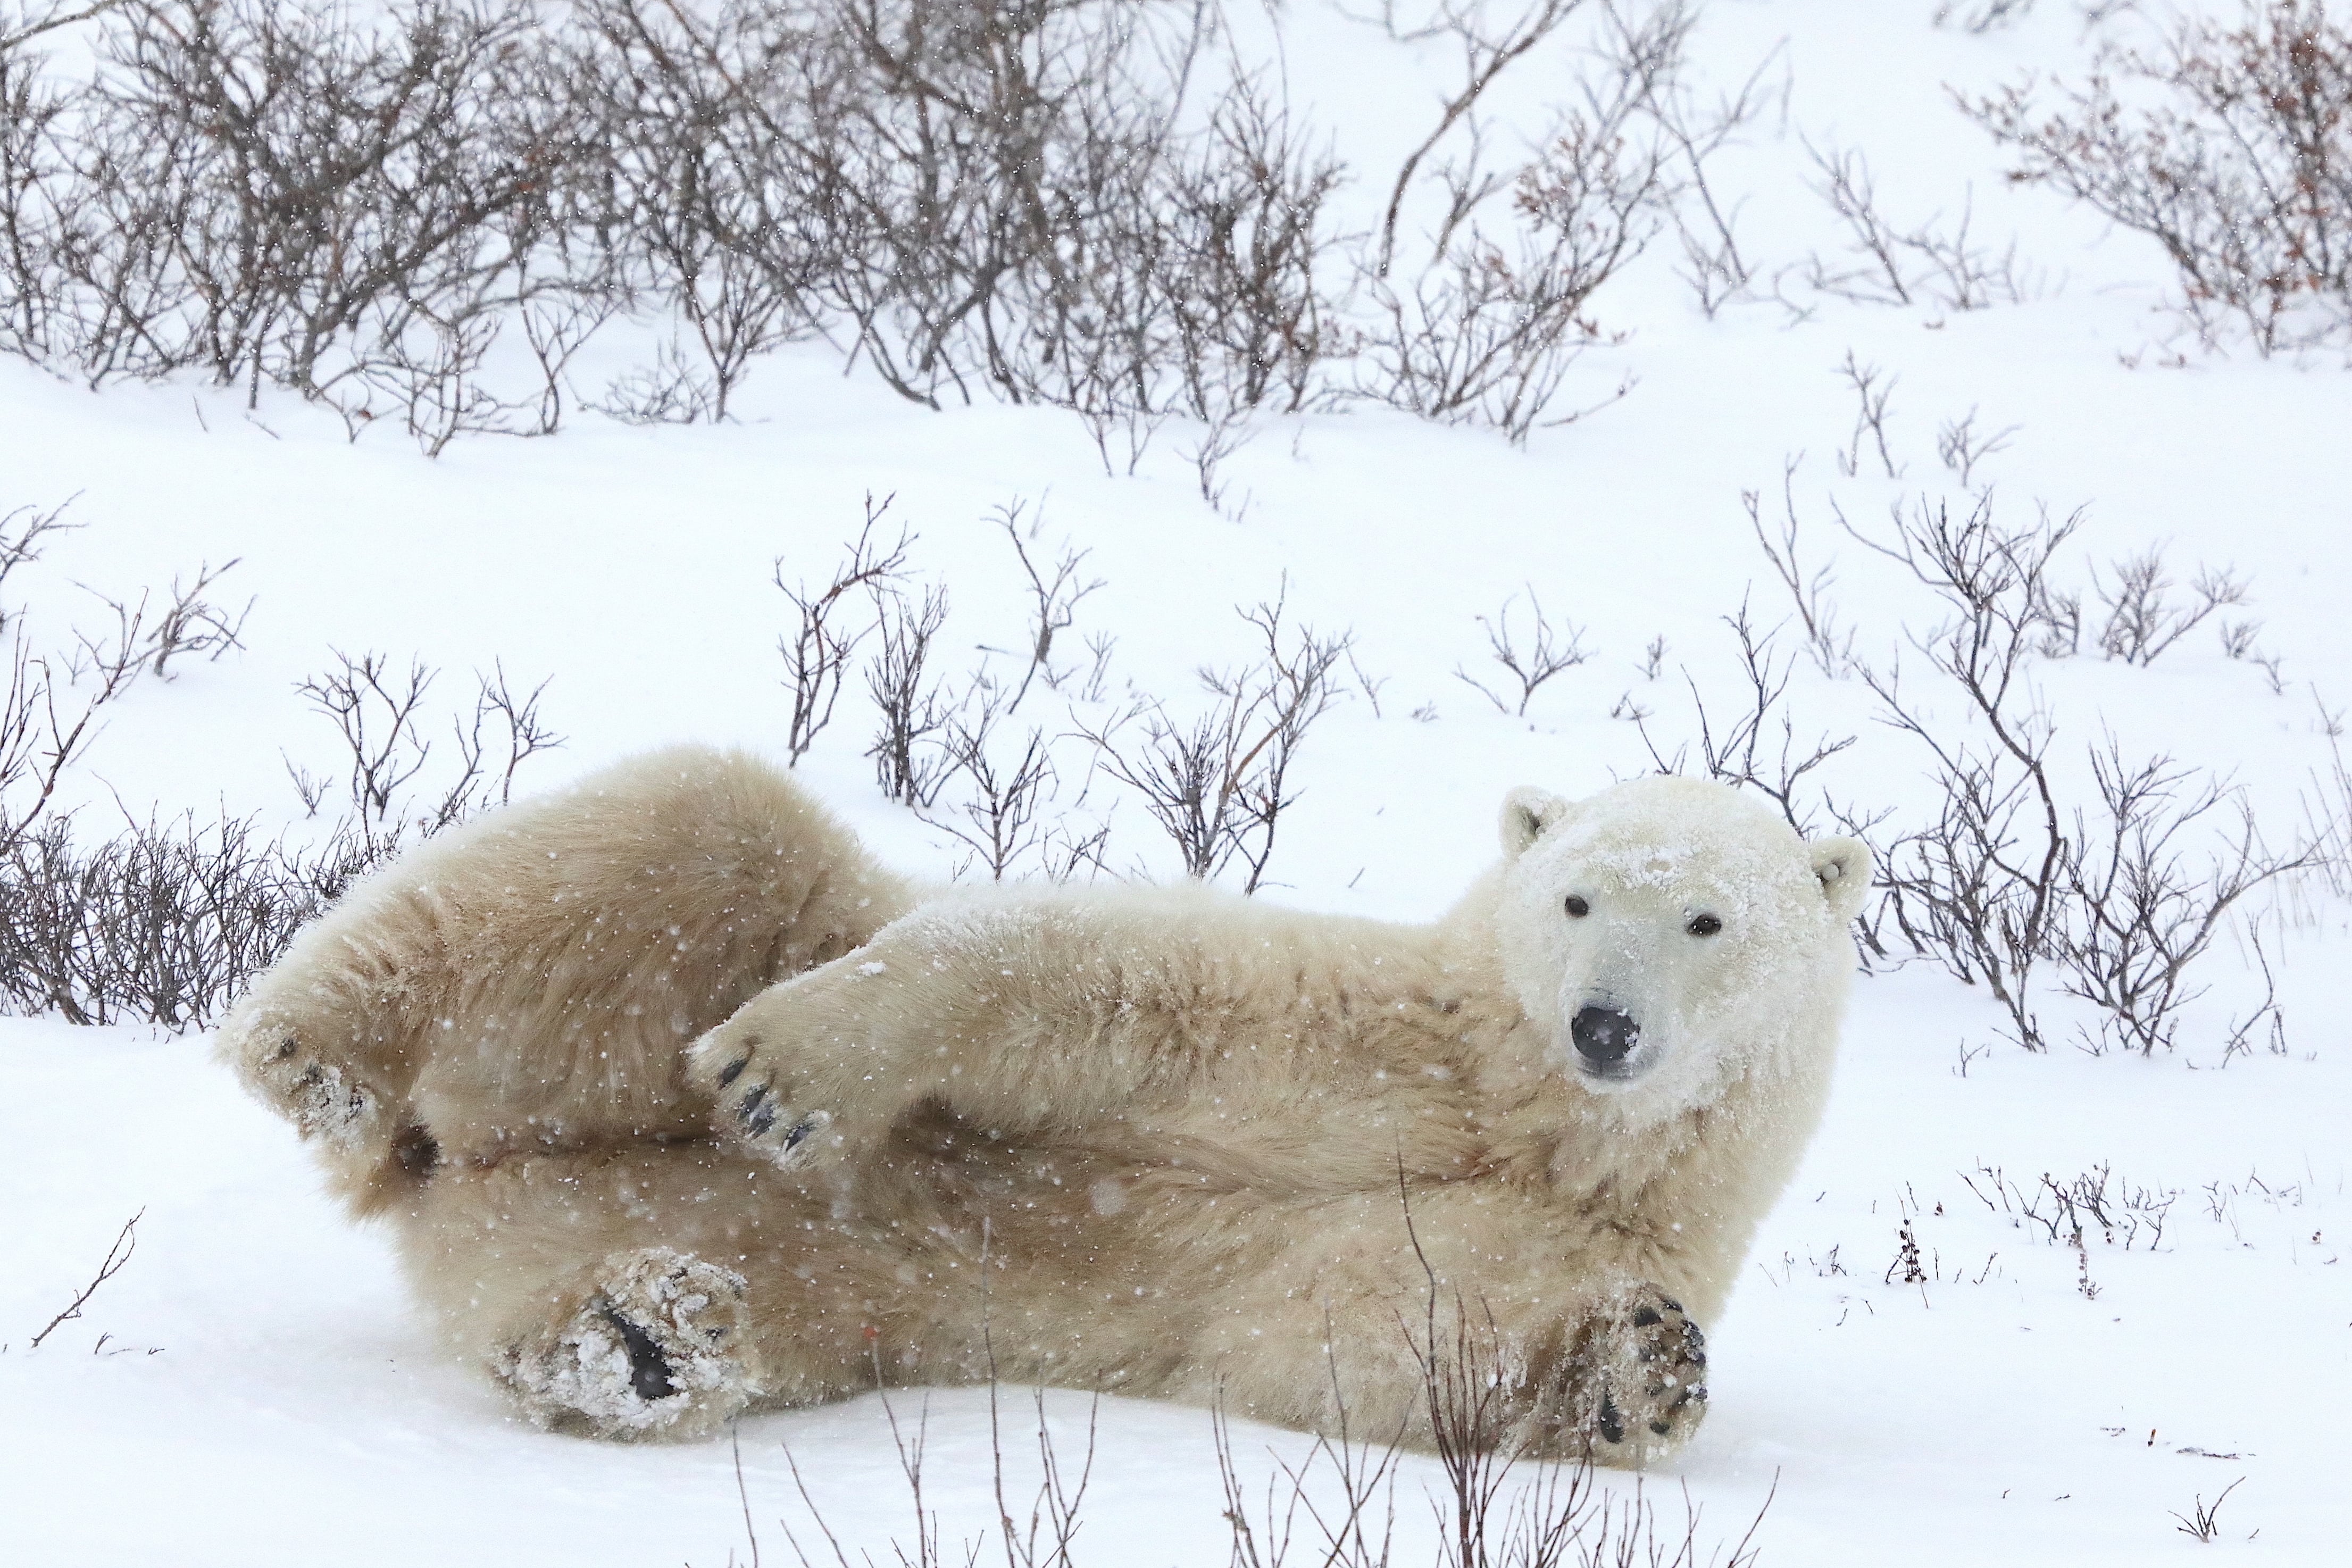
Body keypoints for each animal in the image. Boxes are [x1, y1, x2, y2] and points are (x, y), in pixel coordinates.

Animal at [224, 747, 1872, 1457]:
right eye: (1578, 893)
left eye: (1706, 920)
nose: (1600, 1022)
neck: (1525, 1111)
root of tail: (446, 1165)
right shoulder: (1366, 1024)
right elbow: (1116, 987)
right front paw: (787, 1073)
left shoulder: (1591, 1224)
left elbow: (1373, 1332)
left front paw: (1640, 1368)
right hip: (637, 1008)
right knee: (691, 833)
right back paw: (315, 1051)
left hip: (672, 1249)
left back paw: (642, 1334)